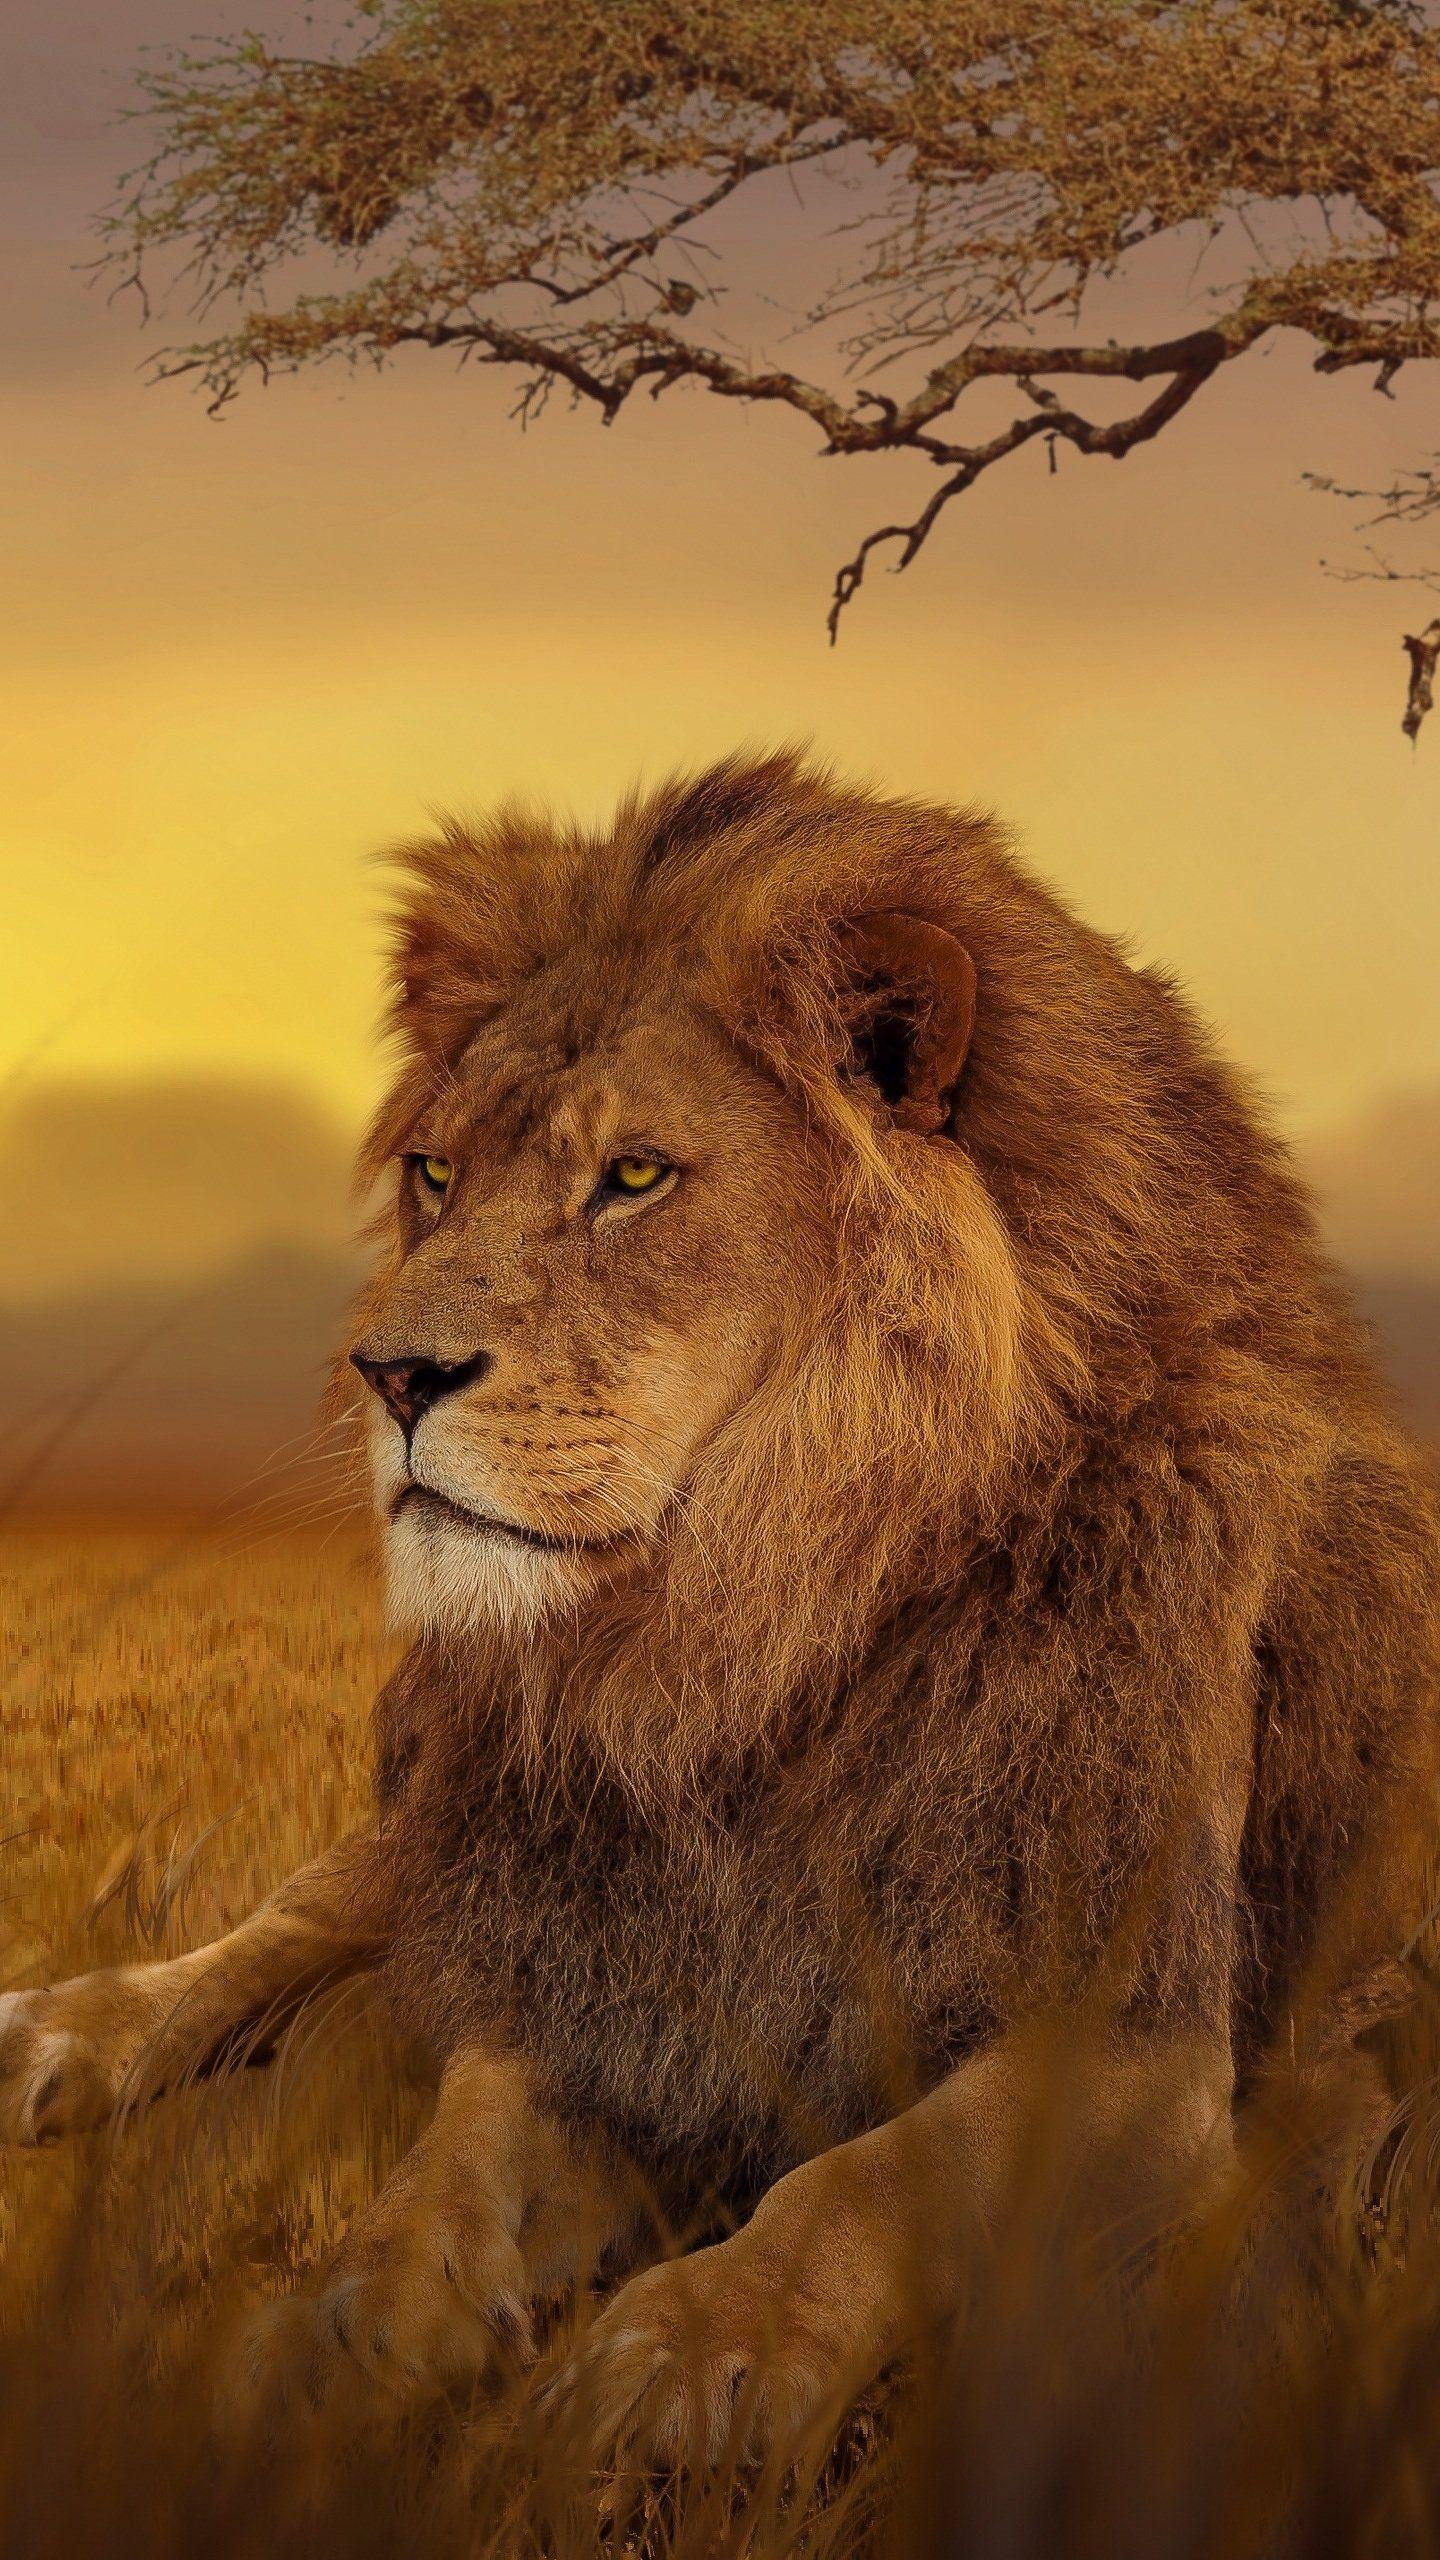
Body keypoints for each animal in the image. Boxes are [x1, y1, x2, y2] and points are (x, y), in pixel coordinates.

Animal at [1, 747, 1436, 2462]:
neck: (750, 1641)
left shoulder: (1138, 2032)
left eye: (633, 1177)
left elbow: (870, 2176)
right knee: (299, 1916)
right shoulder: (582, 1947)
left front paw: (689, 2351)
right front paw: (344, 2326)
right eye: (436, 1174)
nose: (389, 1375)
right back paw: (62, 2036)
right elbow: (454, 2154)